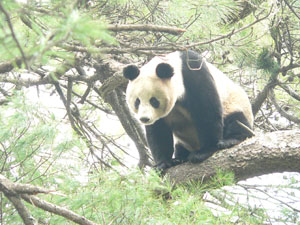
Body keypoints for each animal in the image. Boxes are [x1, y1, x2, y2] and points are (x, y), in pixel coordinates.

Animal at [122, 50, 253, 170]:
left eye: (154, 101)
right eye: (137, 101)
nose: (144, 118)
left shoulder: (194, 74)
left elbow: (207, 111)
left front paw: (204, 151)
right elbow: (158, 131)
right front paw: (163, 163)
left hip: (234, 104)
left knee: (236, 120)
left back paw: (230, 140)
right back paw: (180, 158)